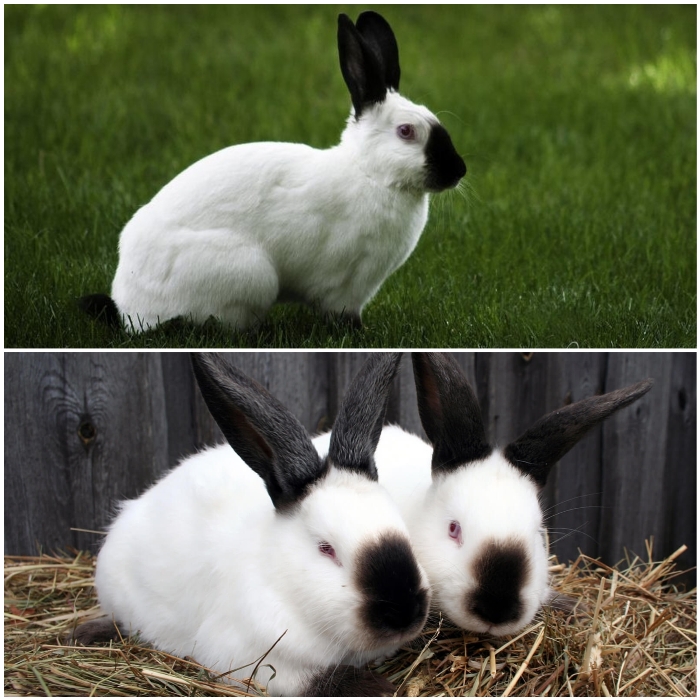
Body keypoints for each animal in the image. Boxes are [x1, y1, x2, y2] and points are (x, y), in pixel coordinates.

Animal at [71, 352, 432, 696]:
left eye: (402, 528)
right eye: (326, 549)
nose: (405, 612)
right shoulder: (250, 658)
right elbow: (313, 680)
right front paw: (377, 688)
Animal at [82, 10, 464, 334]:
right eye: (406, 132)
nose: (459, 170)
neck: (370, 174)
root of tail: (129, 307)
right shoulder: (346, 284)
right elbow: (340, 313)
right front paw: (358, 334)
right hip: (252, 276)